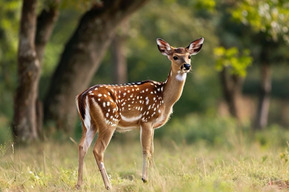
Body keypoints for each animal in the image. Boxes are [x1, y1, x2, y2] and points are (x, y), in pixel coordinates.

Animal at [75, 37, 204, 189]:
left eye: (189, 56)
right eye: (175, 57)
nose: (187, 66)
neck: (165, 99)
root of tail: (82, 96)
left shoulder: (153, 125)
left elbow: (152, 150)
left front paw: (156, 178)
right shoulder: (146, 120)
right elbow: (146, 150)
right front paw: (145, 179)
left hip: (88, 125)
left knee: (82, 147)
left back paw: (79, 185)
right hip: (108, 121)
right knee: (97, 150)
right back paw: (108, 185)